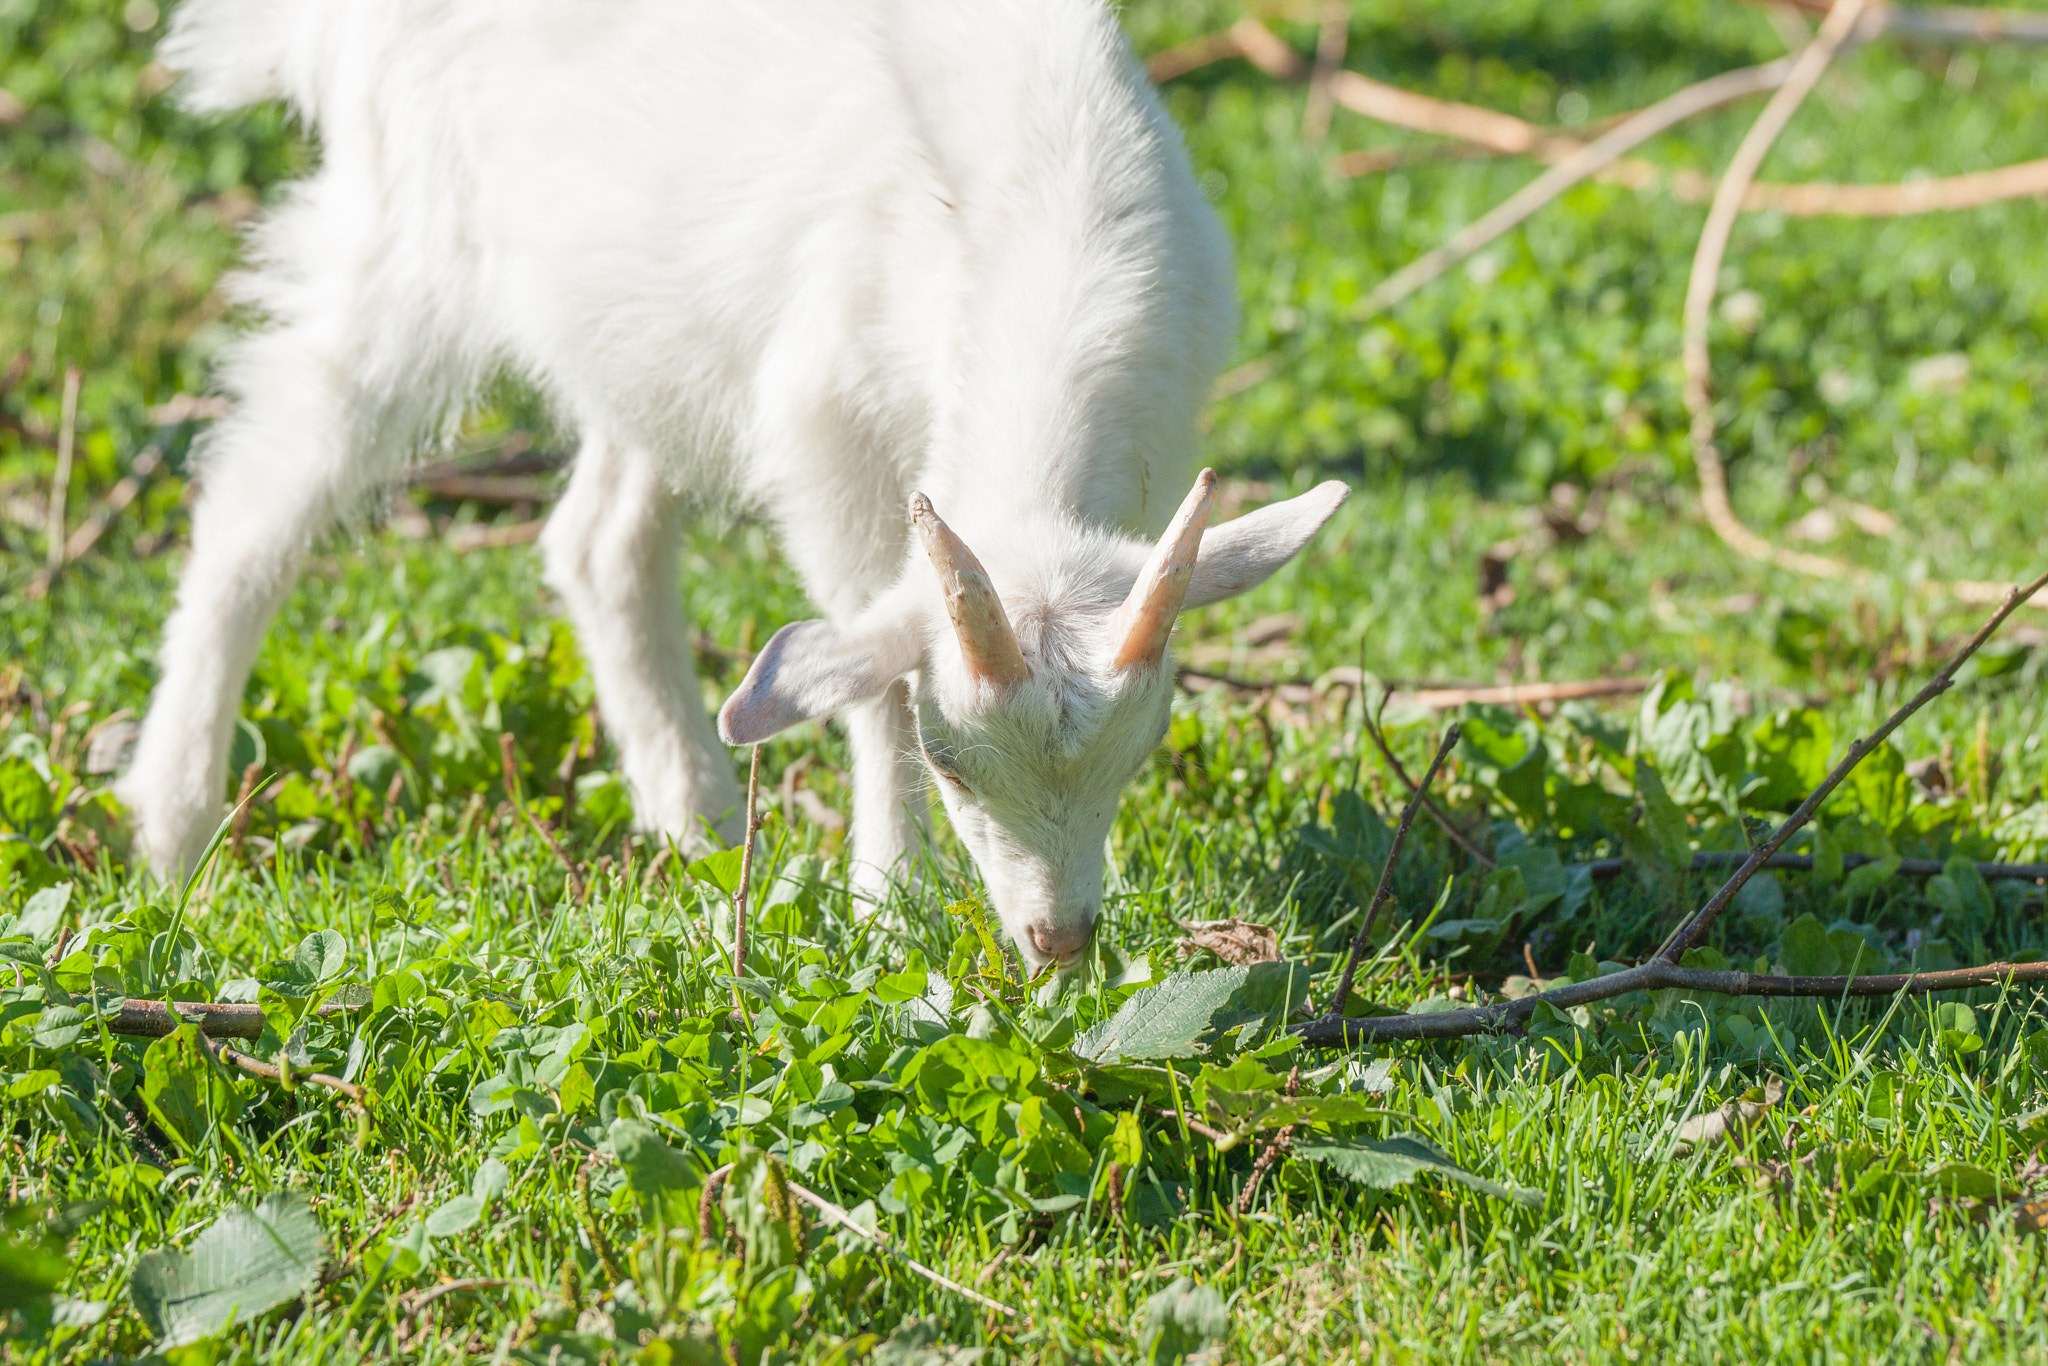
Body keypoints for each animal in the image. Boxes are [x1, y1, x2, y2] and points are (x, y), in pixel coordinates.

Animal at [123, 0, 1343, 970]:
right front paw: (889, 902)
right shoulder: (829, 438)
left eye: (1143, 748)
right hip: (410, 237)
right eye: (951, 763)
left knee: (599, 540)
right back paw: (172, 828)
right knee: (255, 498)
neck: (1032, 219)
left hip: (646, 324)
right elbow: (868, 679)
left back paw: (696, 822)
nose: (1060, 940)